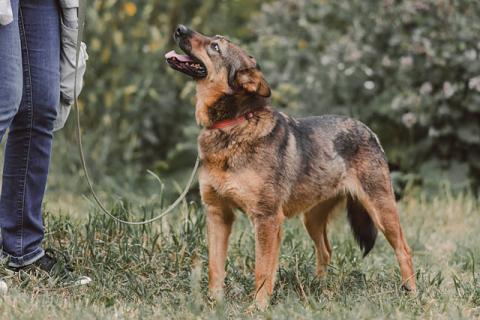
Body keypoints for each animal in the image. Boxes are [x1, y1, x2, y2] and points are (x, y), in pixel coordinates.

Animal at [166, 24, 416, 308]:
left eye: (215, 47)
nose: (180, 28)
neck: (232, 125)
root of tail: (367, 129)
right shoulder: (218, 213)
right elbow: (215, 267)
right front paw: (212, 304)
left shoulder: (266, 219)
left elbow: (262, 269)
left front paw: (258, 307)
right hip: (312, 218)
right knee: (326, 250)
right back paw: (320, 288)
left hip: (381, 210)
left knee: (404, 249)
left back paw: (412, 292)